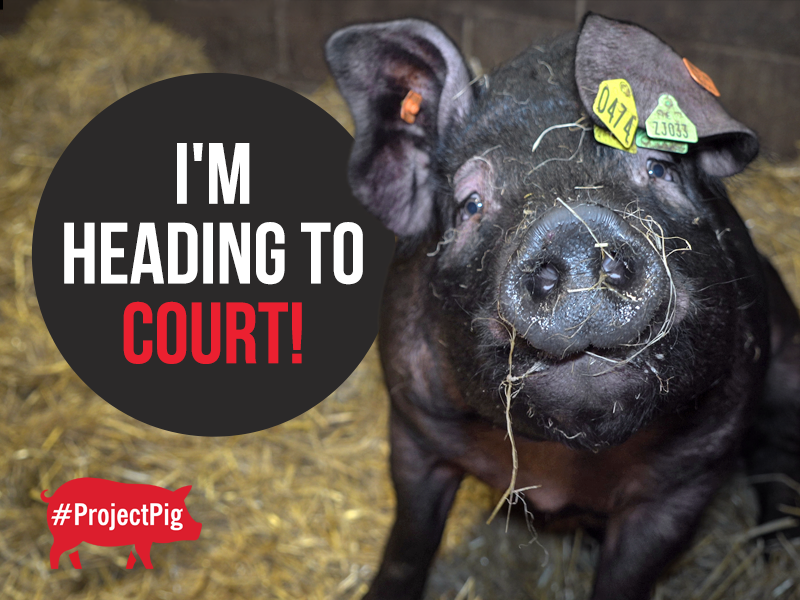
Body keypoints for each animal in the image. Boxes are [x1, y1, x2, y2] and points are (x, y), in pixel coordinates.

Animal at [326, 12, 800, 600]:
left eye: (661, 169)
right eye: (469, 205)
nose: (574, 227)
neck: (559, 466)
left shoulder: (691, 475)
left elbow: (628, 578)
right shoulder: (413, 425)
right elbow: (409, 543)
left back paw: (776, 553)